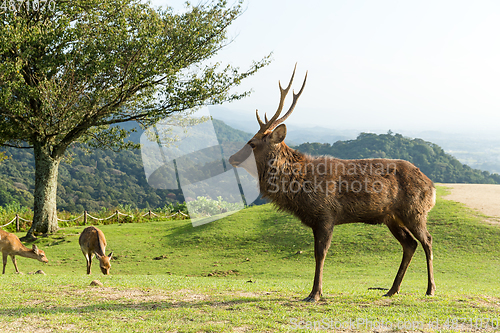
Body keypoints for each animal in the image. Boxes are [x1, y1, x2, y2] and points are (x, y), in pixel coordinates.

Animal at [229, 65, 436, 300]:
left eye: (252, 143)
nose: (232, 158)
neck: (300, 187)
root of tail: (432, 186)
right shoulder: (316, 220)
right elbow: (317, 253)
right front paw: (314, 291)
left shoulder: (326, 213)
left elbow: (320, 254)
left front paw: (315, 293)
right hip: (391, 217)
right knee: (410, 244)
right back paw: (392, 290)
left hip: (415, 210)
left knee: (427, 240)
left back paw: (430, 289)